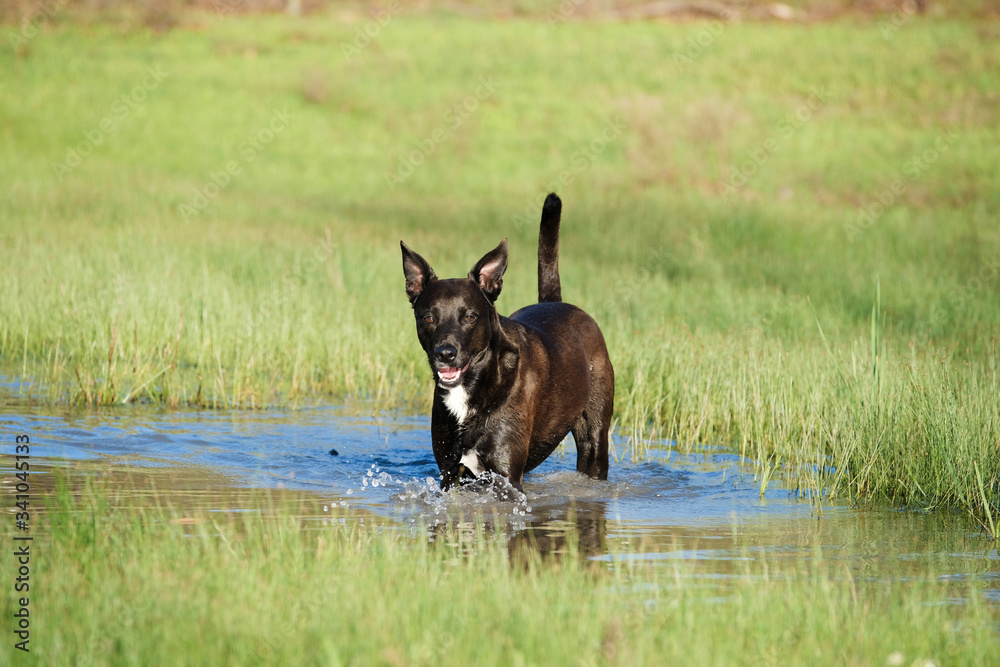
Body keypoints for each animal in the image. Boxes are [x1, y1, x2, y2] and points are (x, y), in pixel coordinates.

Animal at [402, 193, 612, 490]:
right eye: (429, 317)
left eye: (469, 316)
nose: (445, 354)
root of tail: (555, 303)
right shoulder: (449, 474)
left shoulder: (507, 477)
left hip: (594, 439)